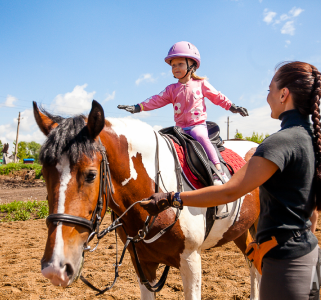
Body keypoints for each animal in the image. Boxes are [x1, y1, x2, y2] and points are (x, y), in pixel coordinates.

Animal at [34, 101, 260, 300]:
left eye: (91, 175)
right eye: (44, 174)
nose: (55, 267)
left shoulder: (191, 260)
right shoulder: (143, 264)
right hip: (240, 230)